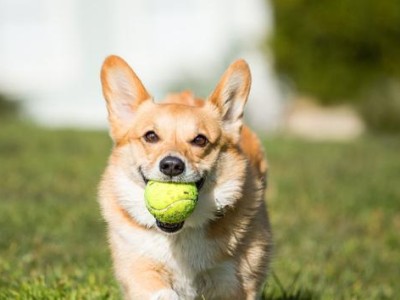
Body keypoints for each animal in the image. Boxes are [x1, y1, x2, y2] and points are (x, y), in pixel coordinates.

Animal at [98, 55, 272, 298]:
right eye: (151, 136)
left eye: (200, 140)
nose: (172, 165)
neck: (180, 233)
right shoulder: (140, 270)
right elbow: (162, 291)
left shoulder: (234, 281)